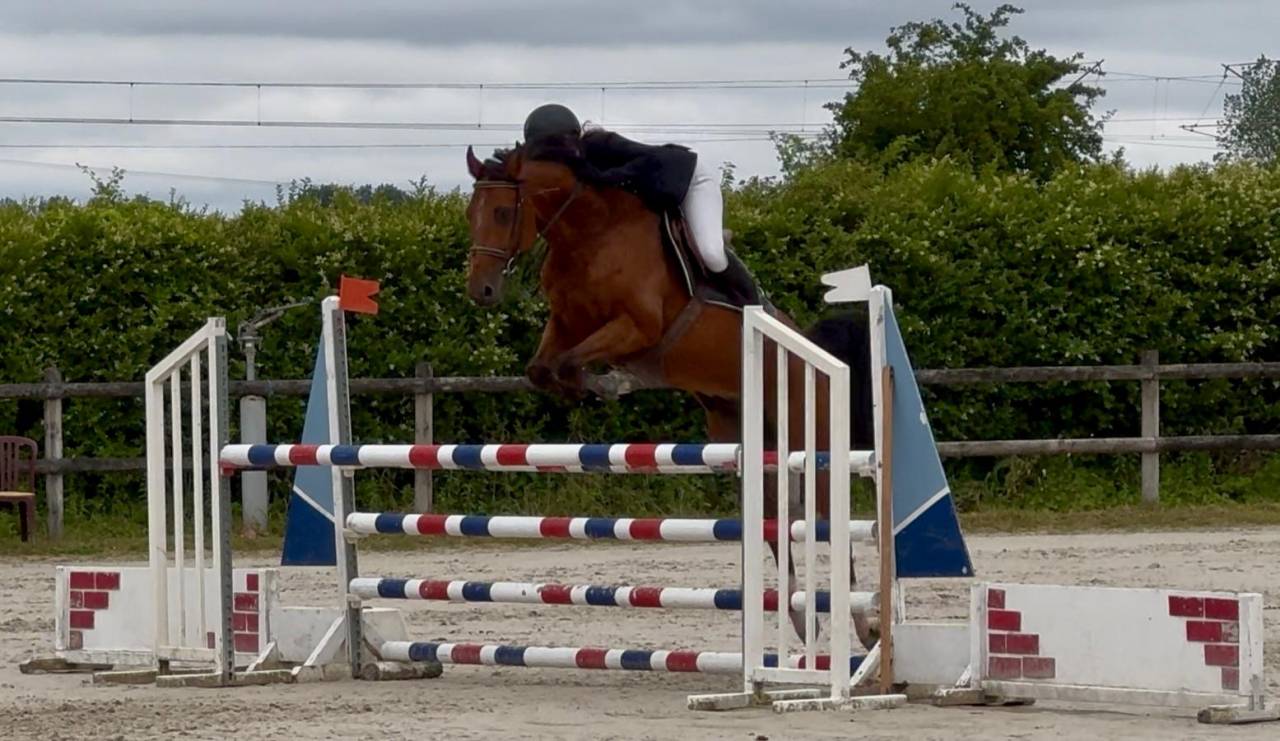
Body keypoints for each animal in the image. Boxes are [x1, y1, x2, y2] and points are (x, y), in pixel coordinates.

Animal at [462, 143, 878, 649]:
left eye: (503, 212)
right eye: (470, 213)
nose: (481, 290)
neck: (588, 236)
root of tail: (816, 352)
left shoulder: (636, 326)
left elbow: (572, 362)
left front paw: (610, 382)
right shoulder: (565, 325)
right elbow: (543, 368)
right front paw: (593, 384)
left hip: (808, 437)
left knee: (829, 518)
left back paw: (864, 625)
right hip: (750, 442)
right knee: (775, 521)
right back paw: (801, 618)